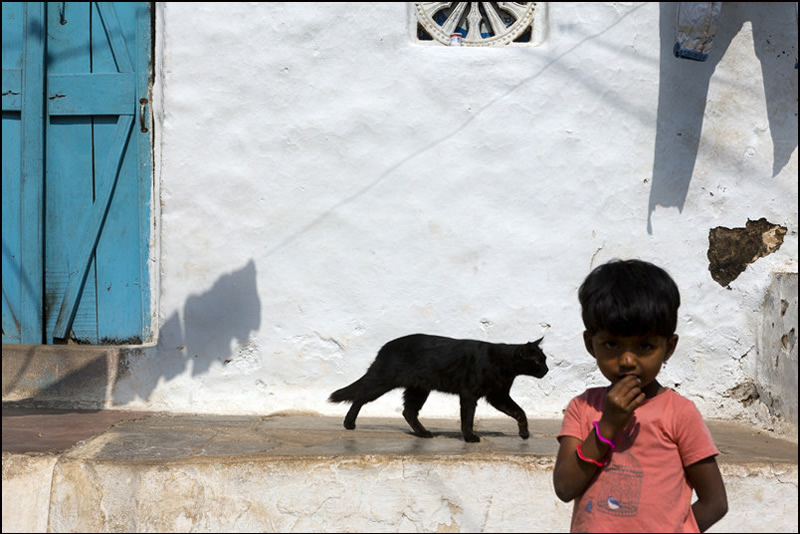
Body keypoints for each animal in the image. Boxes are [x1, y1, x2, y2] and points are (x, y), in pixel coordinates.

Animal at [328, 336, 548, 444]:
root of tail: (385, 347)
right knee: (360, 396)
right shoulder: (470, 394)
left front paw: (524, 433)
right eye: (537, 361)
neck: (505, 365)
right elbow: (467, 417)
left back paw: (423, 433)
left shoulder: (498, 395)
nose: (546, 370)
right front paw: (469, 438)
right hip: (384, 381)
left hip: (418, 389)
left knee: (408, 411)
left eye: (544, 359)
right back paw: (349, 423)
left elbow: (520, 412)